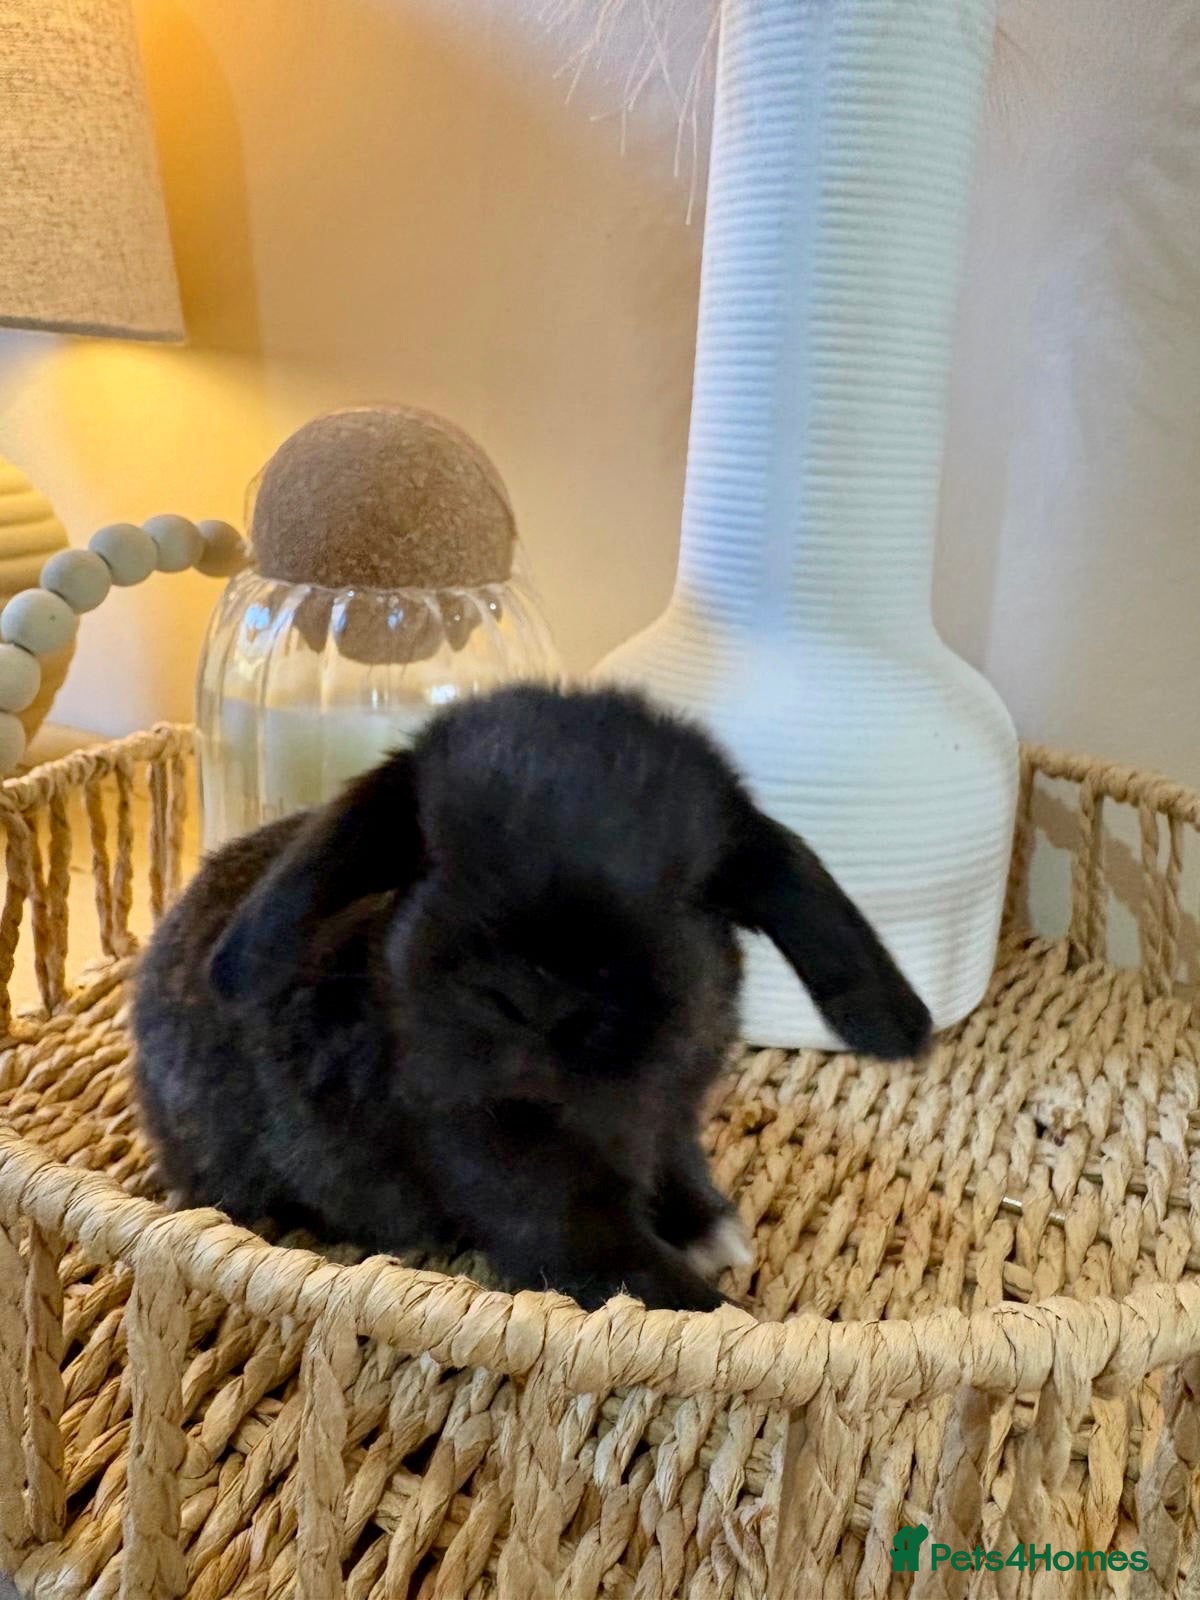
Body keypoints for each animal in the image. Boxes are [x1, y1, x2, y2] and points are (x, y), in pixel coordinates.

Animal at [132, 684, 931, 1312]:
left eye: (686, 889)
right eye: (430, 859)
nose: (534, 997)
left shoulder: (670, 1118)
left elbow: (679, 1167)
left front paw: (709, 1229)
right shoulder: (530, 1194)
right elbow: (630, 1271)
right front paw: (727, 1315)